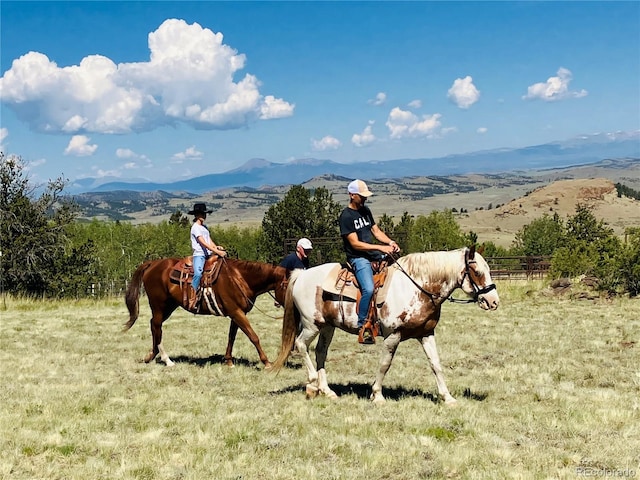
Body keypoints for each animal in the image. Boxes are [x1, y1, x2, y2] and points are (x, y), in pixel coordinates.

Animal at [124, 258, 288, 368]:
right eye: (287, 285)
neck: (239, 278)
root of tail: (152, 264)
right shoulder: (236, 312)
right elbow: (253, 337)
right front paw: (267, 362)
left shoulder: (237, 313)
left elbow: (232, 337)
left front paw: (229, 361)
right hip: (158, 305)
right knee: (157, 327)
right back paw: (167, 360)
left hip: (169, 306)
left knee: (154, 326)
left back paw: (151, 356)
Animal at [270, 246, 500, 404]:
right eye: (477, 271)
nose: (493, 301)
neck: (416, 287)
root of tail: (301, 275)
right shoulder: (393, 335)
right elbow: (385, 364)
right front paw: (377, 395)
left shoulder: (426, 333)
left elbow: (436, 364)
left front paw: (448, 397)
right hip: (312, 324)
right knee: (301, 345)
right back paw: (311, 385)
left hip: (328, 326)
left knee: (320, 352)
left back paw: (327, 390)